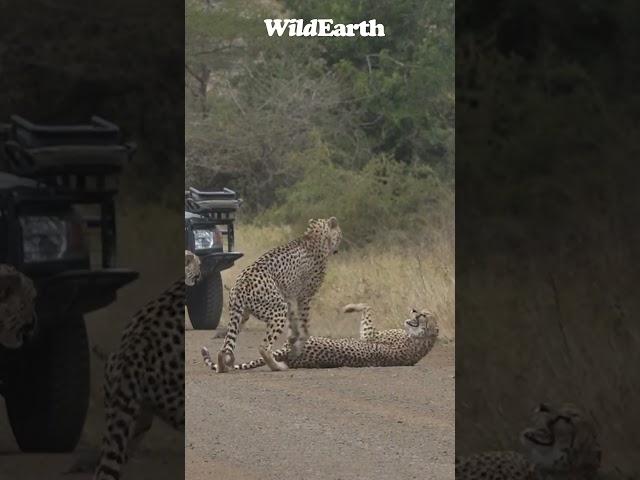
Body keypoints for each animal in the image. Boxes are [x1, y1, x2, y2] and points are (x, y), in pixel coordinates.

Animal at [202, 304, 438, 372]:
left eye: (424, 315)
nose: (414, 310)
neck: (424, 341)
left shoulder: (370, 334)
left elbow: (367, 308)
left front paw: (349, 307)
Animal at [218, 216, 342, 374]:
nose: (338, 247)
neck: (314, 236)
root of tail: (241, 283)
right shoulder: (304, 297)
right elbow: (304, 323)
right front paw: (299, 344)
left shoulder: (289, 297)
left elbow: (294, 320)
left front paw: (293, 339)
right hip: (278, 310)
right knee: (263, 347)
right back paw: (277, 366)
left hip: (241, 315)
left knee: (224, 347)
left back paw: (223, 366)